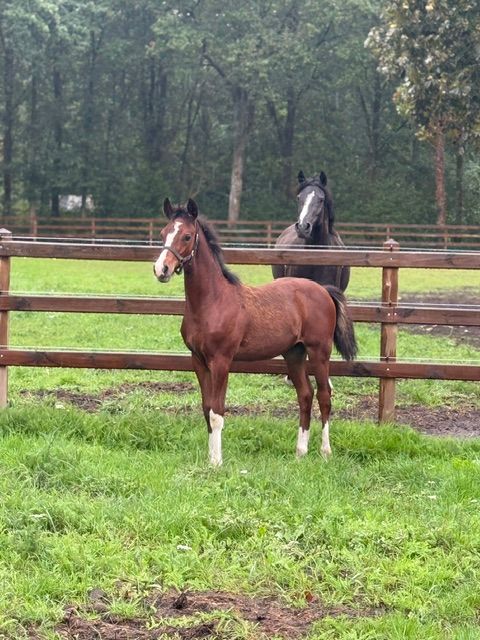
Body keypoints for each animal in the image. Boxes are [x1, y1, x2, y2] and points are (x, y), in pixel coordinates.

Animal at [153, 198, 357, 466]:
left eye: (187, 236)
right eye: (163, 233)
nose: (161, 269)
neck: (213, 301)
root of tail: (323, 290)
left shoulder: (221, 361)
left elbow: (217, 411)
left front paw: (216, 463)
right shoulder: (197, 360)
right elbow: (206, 408)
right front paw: (210, 458)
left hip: (319, 352)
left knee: (324, 396)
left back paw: (325, 452)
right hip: (294, 353)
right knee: (305, 395)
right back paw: (300, 452)